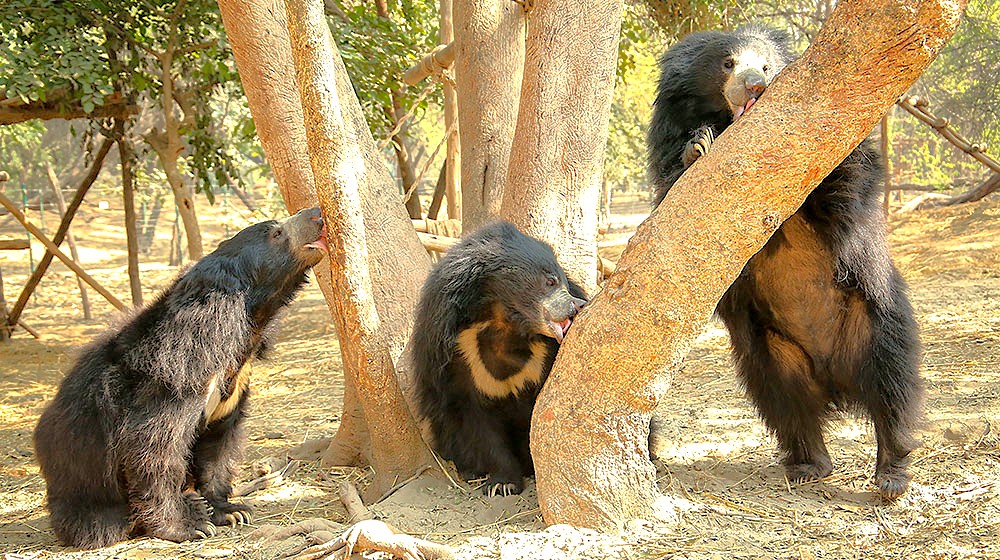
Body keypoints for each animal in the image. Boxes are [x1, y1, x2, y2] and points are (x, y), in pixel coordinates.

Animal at [33, 206, 328, 548]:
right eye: (276, 233)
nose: (316, 213)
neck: (245, 327)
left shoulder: (235, 384)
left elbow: (218, 445)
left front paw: (229, 511)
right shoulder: (175, 374)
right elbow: (156, 448)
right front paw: (188, 527)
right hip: (79, 465)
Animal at [410, 221, 587, 497]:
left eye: (566, 285)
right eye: (550, 281)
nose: (577, 306)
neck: (505, 324)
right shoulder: (455, 355)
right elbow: (475, 421)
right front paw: (503, 484)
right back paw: (470, 471)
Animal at [646, 24, 922, 500]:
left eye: (767, 65)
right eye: (728, 64)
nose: (756, 85)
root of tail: (835, 376)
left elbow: (845, 177)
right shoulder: (666, 141)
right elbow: (673, 198)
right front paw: (697, 145)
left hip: (875, 318)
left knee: (893, 384)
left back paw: (892, 470)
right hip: (770, 350)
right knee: (786, 403)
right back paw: (810, 463)